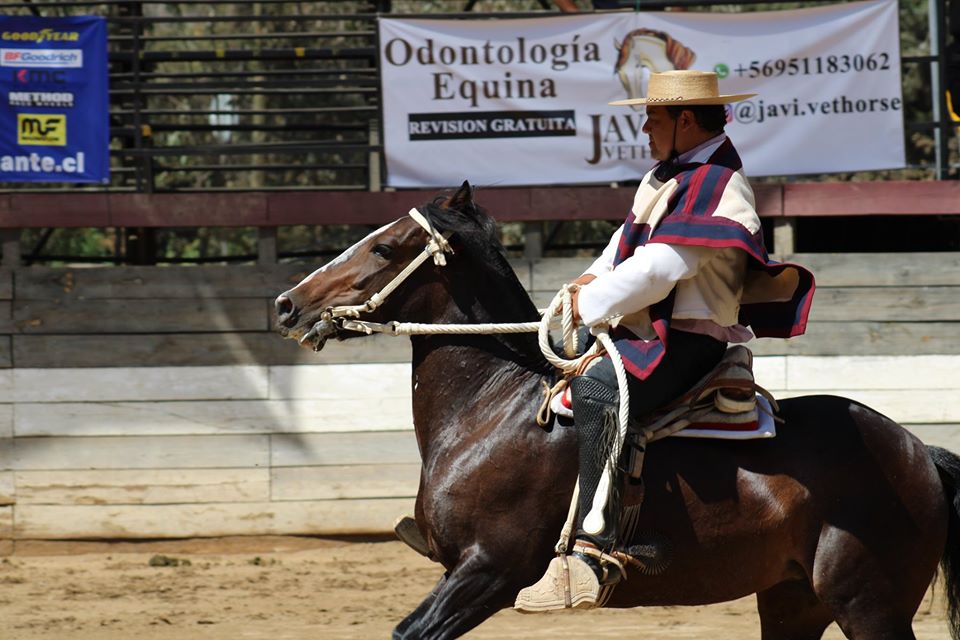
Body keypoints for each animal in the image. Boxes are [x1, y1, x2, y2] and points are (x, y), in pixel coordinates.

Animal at [274, 180, 960, 640]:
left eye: (385, 248)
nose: (287, 304)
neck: (491, 412)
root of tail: (915, 450)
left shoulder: (487, 571)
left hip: (867, 602)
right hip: (794, 600)